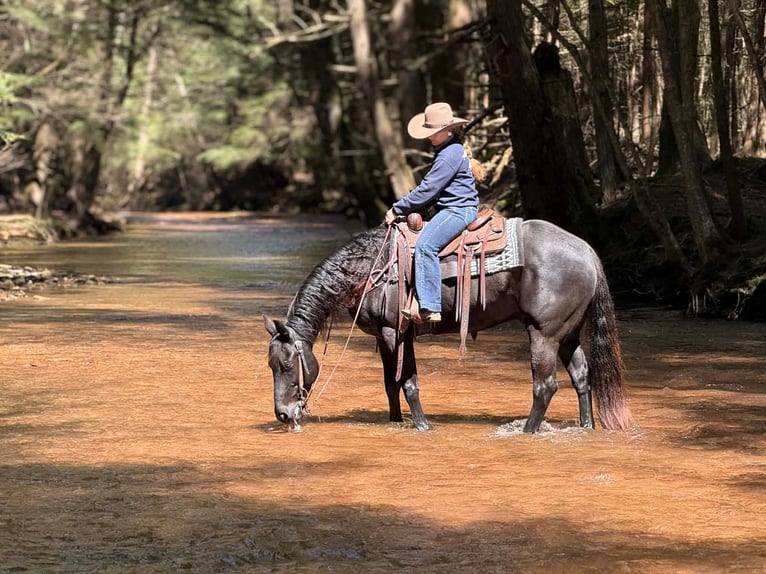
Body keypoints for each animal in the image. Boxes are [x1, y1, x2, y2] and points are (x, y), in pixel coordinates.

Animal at [263, 217, 632, 433]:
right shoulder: (390, 336)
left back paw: (527, 431)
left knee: (545, 386)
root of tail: (586, 250)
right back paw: (586, 426)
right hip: (568, 333)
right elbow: (391, 383)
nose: (283, 415)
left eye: (287, 364)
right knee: (582, 377)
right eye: (270, 365)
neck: (370, 268)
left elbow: (406, 382)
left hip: (543, 334)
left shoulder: (394, 333)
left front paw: (422, 426)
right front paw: (396, 422)